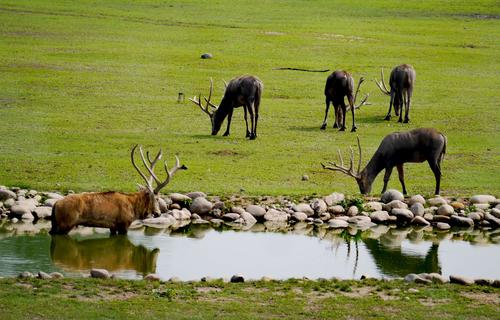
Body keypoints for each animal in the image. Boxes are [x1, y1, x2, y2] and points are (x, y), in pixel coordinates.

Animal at [49, 145, 187, 235]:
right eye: (157, 198)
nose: (158, 213)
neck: (134, 208)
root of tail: (56, 204)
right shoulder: (123, 225)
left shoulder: (112, 227)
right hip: (66, 224)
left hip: (55, 225)